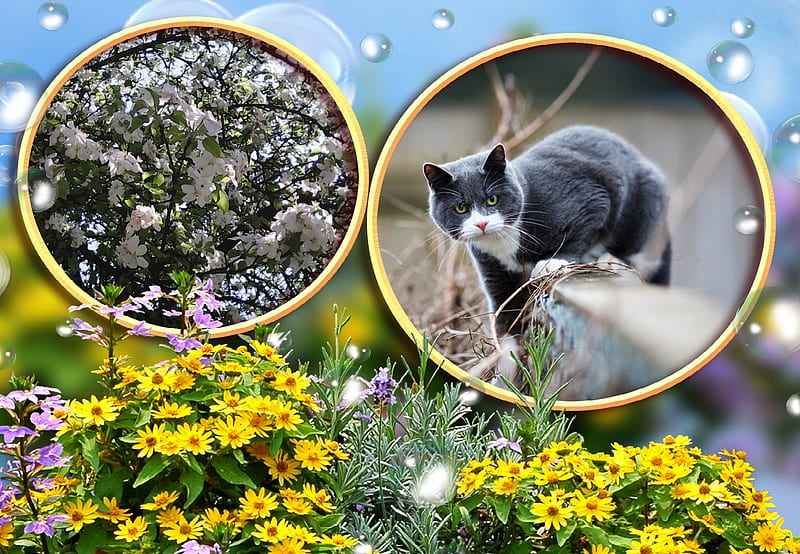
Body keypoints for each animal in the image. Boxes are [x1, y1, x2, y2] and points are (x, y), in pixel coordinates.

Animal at [424, 126, 668, 380]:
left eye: (492, 199)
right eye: (461, 208)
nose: (482, 224)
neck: (503, 243)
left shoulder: (593, 200)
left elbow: (582, 231)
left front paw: (552, 262)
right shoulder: (493, 269)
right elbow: (505, 316)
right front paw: (507, 367)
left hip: (647, 205)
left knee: (645, 254)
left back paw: (610, 260)